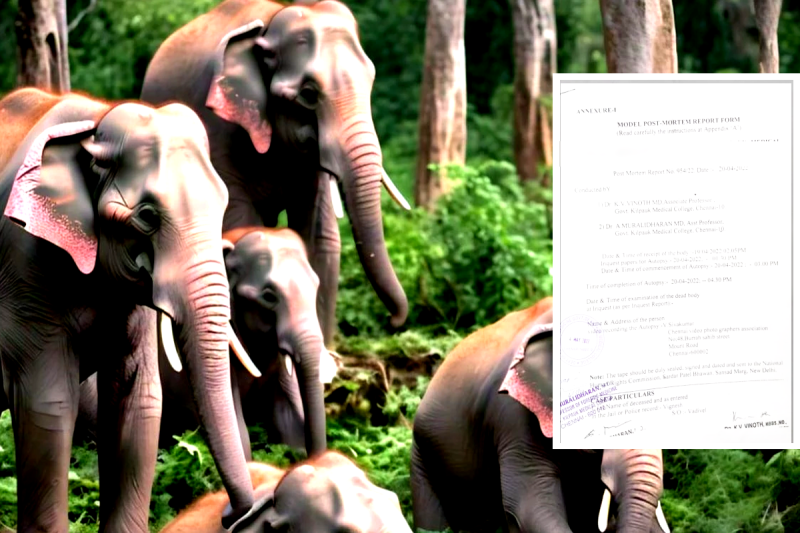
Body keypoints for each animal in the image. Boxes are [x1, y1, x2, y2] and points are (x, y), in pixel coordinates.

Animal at [0, 87, 258, 531]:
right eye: (147, 216)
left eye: (222, 204)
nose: (231, 513)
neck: (96, 123)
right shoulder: (23, 261)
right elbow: (48, 403)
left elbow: (138, 400)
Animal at [139, 0, 410, 349]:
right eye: (308, 94)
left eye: (371, 79)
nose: (394, 322)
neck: (269, 25)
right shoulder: (218, 131)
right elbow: (240, 225)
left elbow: (320, 238)